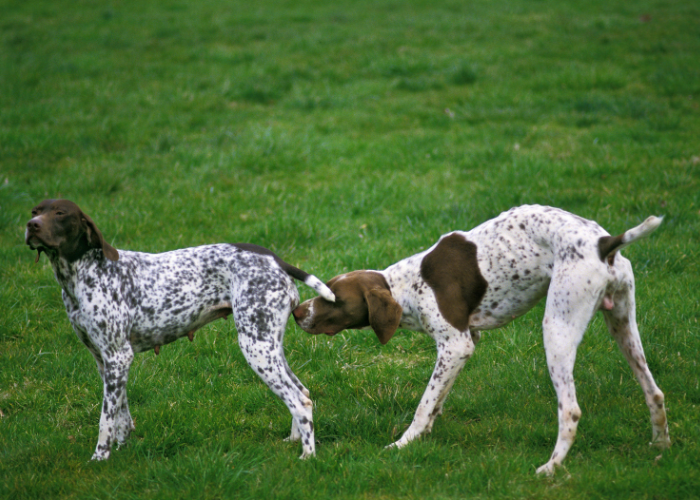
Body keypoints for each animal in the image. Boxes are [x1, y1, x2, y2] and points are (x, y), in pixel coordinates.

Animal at [24, 199, 336, 460]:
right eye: (35, 210)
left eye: (60, 213)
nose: (31, 225)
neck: (83, 274)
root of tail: (274, 259)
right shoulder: (105, 361)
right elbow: (121, 413)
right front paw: (122, 446)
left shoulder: (117, 357)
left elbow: (104, 420)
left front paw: (100, 458)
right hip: (268, 346)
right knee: (302, 392)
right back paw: (294, 440)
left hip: (256, 348)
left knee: (299, 401)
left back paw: (307, 456)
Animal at [292, 203, 668, 472]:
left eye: (333, 299)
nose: (296, 311)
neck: (407, 286)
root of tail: (604, 242)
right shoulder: (466, 342)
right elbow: (437, 399)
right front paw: (425, 434)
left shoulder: (455, 346)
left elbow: (424, 404)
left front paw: (404, 443)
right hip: (623, 327)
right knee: (655, 392)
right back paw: (661, 447)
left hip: (557, 328)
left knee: (571, 411)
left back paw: (551, 468)